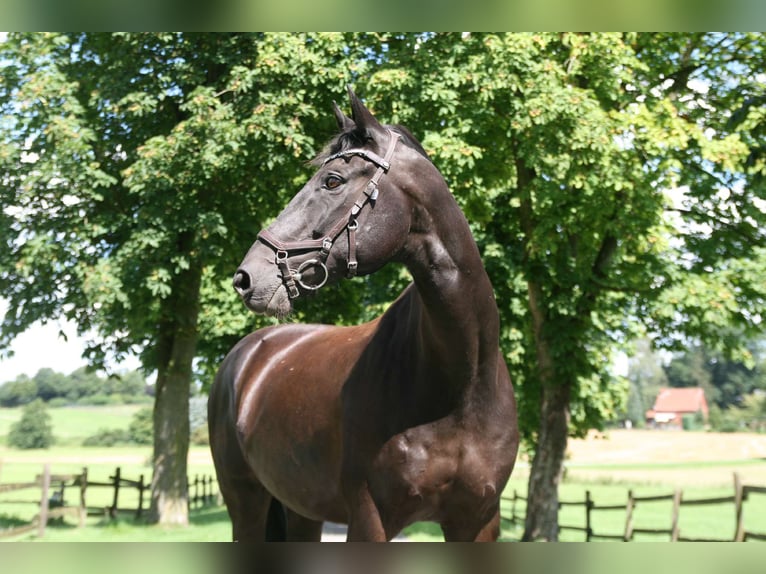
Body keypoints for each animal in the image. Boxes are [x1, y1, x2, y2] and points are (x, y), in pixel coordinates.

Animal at [210, 90, 520, 544]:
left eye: (332, 181)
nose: (247, 277)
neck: (461, 383)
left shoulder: (478, 520)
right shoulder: (369, 519)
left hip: (302, 510)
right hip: (245, 503)